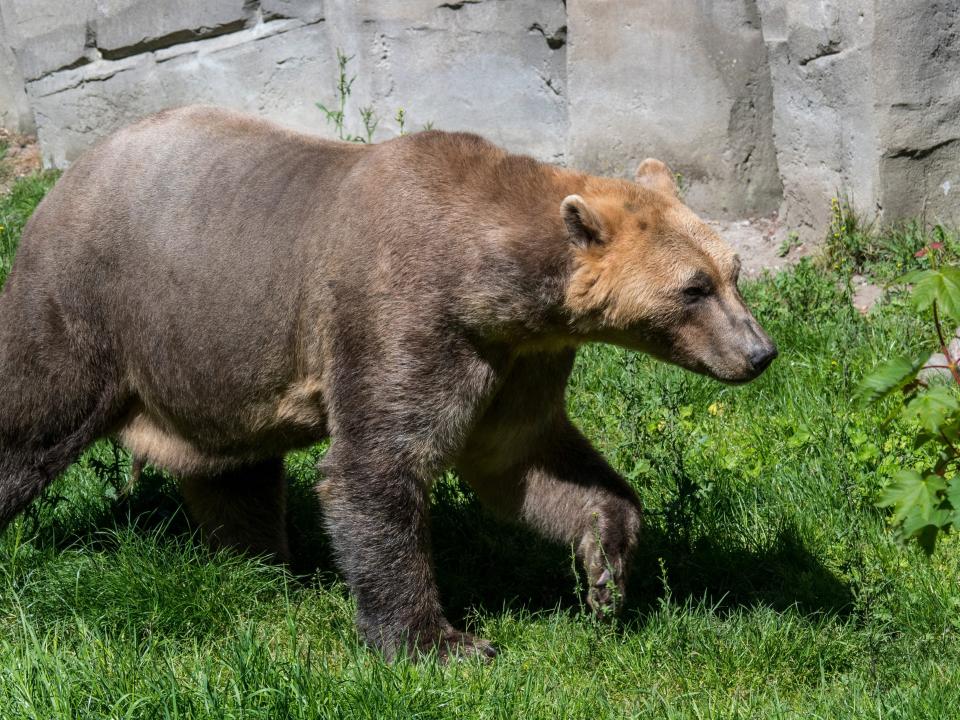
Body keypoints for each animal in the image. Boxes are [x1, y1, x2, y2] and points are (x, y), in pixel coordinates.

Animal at [0, 104, 776, 660]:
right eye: (694, 288)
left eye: (734, 271)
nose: (760, 352)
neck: (488, 278)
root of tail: (63, 179)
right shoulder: (406, 314)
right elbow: (378, 466)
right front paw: (443, 642)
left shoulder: (518, 356)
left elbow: (522, 459)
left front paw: (605, 573)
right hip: (88, 303)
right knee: (32, 418)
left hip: (212, 355)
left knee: (235, 472)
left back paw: (260, 567)